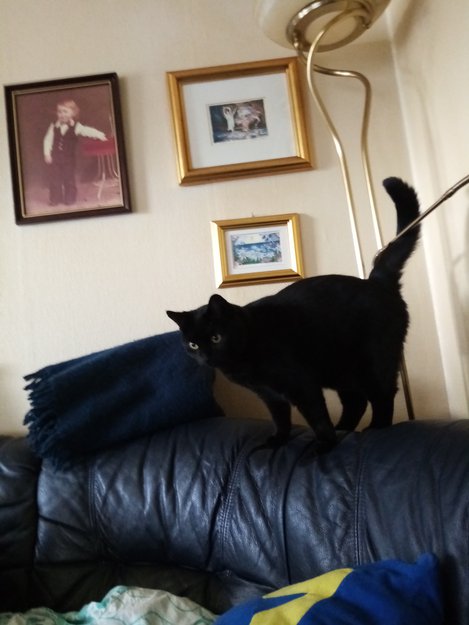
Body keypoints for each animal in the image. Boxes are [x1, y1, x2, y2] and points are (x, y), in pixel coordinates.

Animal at [167, 177, 420, 447]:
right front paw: (278, 440)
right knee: (356, 401)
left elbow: (316, 415)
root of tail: (376, 280)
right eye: (193, 344)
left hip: (371, 361)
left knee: (382, 395)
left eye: (216, 337)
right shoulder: (270, 395)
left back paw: (375, 429)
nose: (205, 357)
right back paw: (344, 429)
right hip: (338, 369)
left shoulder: (300, 383)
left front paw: (325, 445)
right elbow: (280, 417)